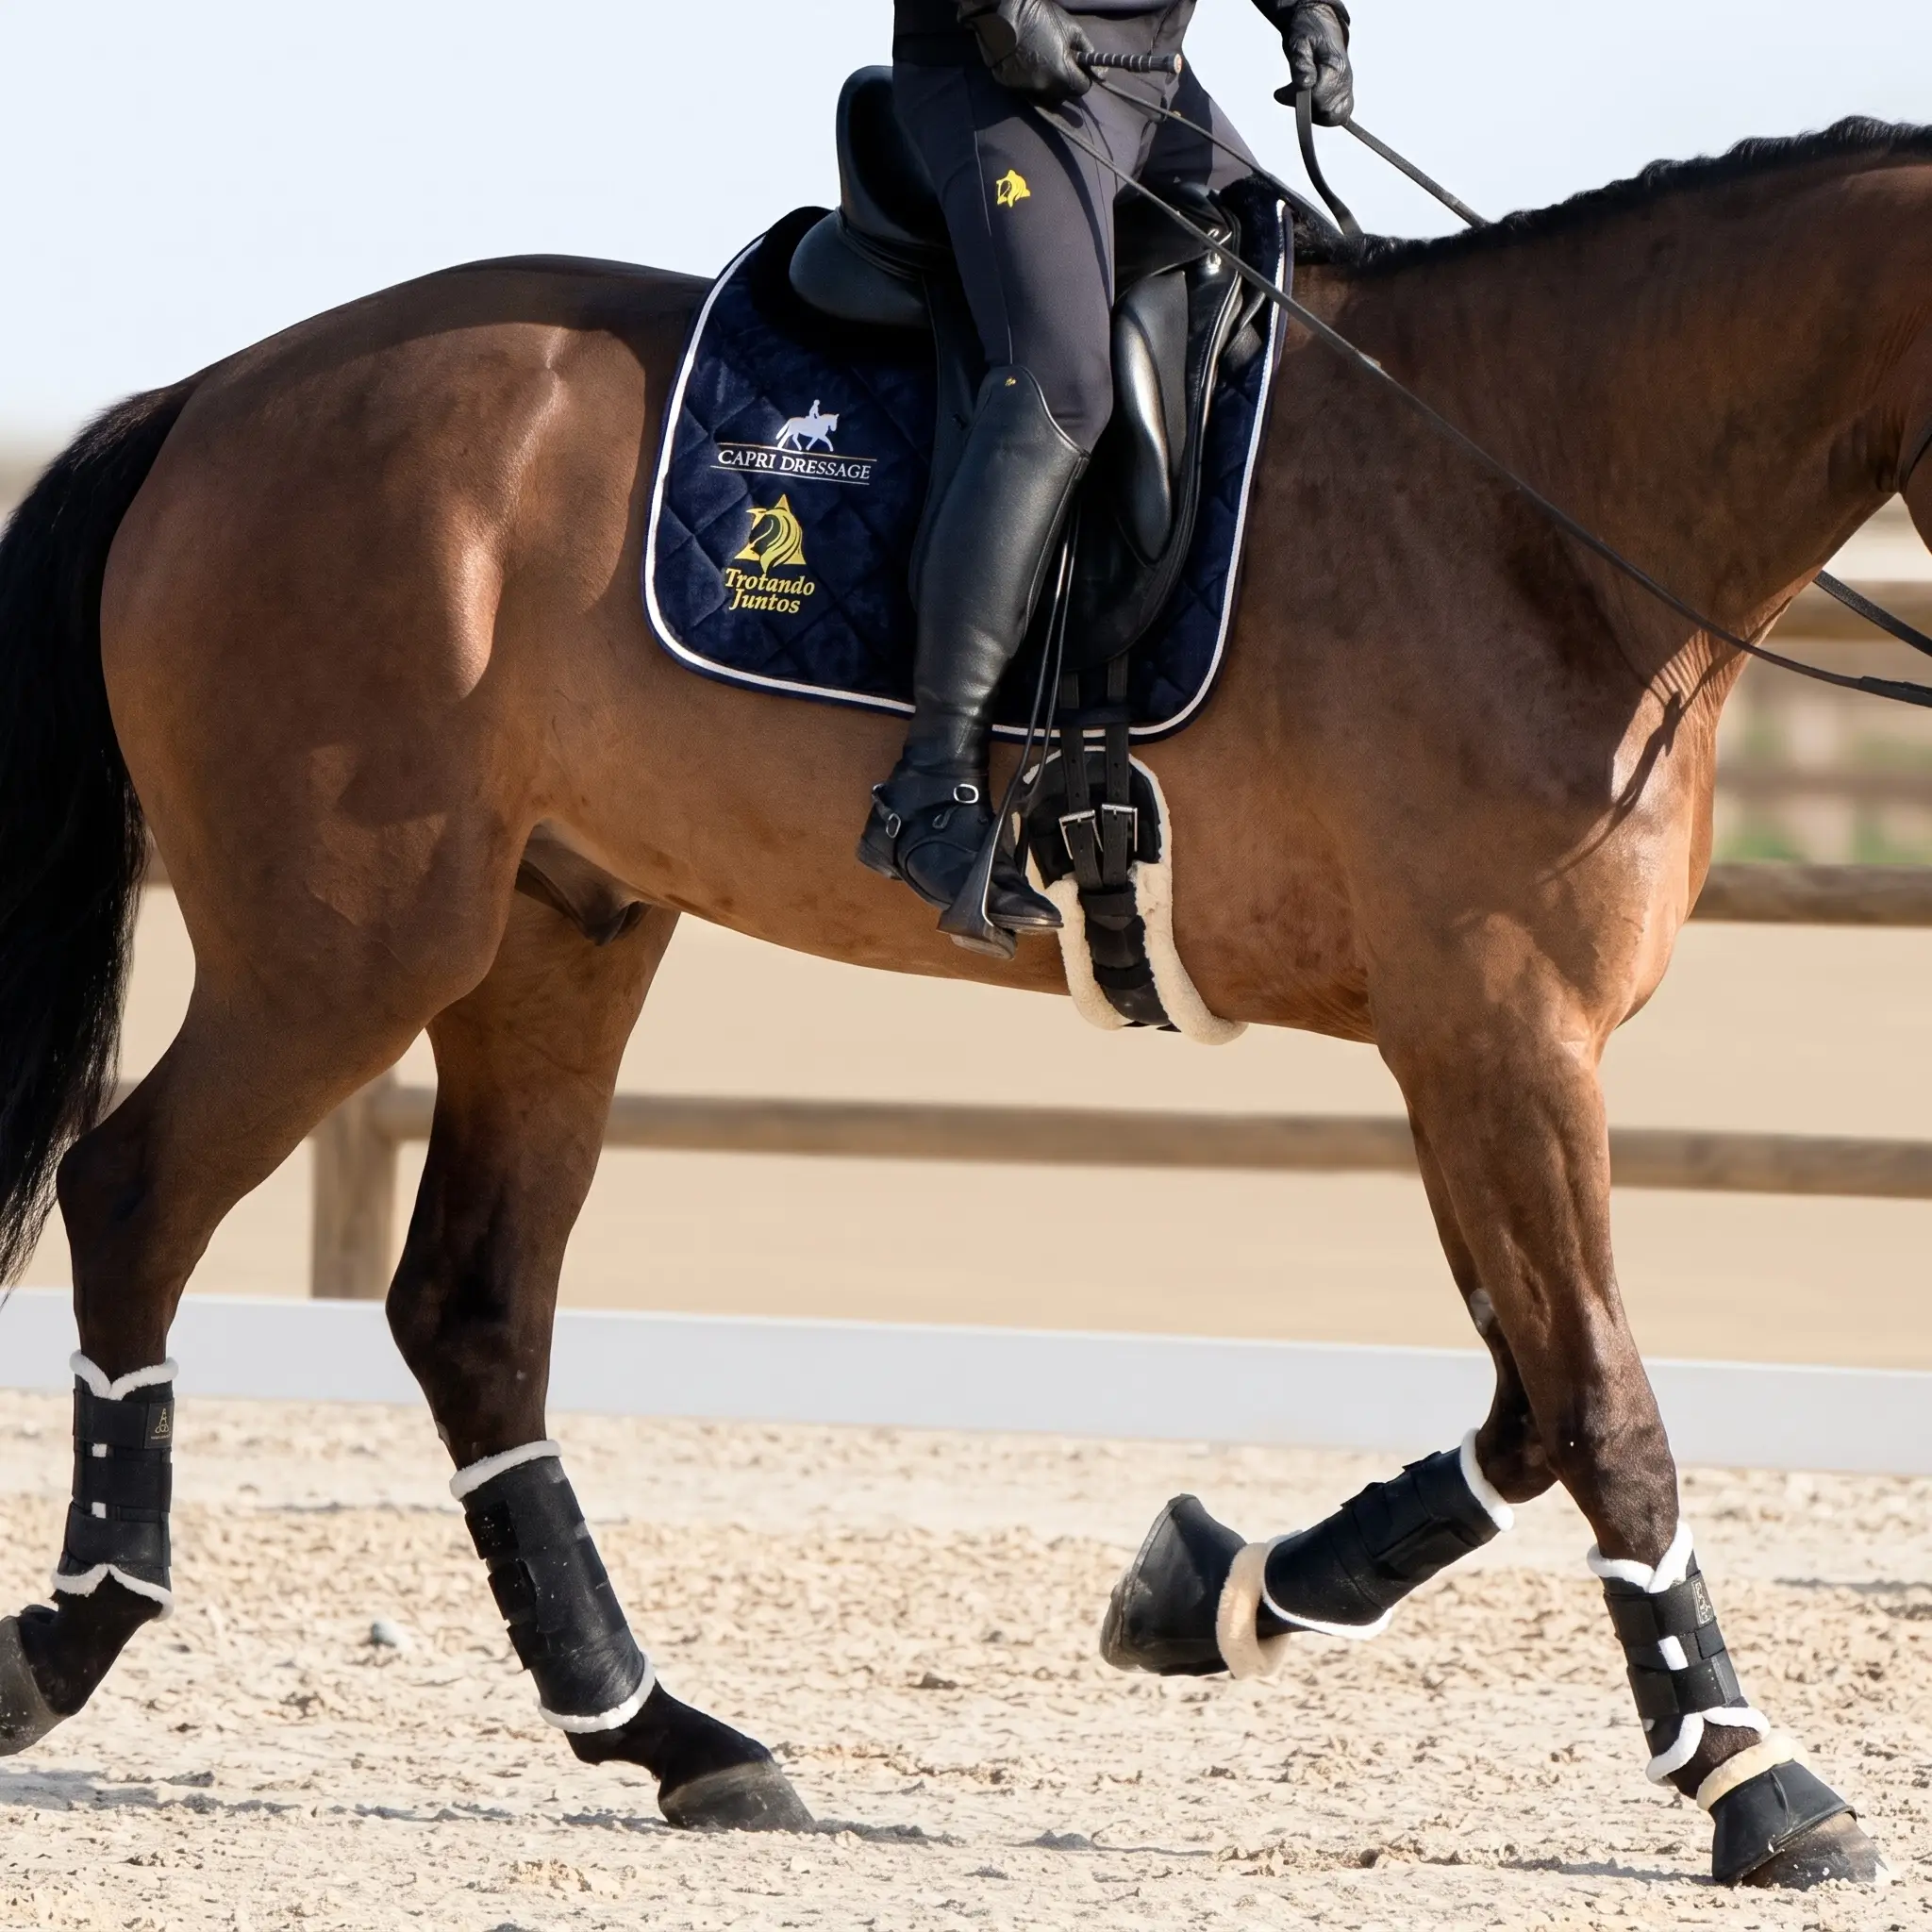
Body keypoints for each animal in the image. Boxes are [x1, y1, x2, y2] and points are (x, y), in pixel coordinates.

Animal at [0, 116, 1926, 1883]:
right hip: (343, 949)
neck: (1531, 503)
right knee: (137, 1194)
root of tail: (218, 394)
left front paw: (1205, 1593)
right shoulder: (1502, 1036)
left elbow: (1528, 1399)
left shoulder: (1468, 1052)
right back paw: (69, 1634)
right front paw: (1753, 1780)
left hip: (560, 934)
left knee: (471, 1308)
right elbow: (1603, 1404)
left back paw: (668, 1734)